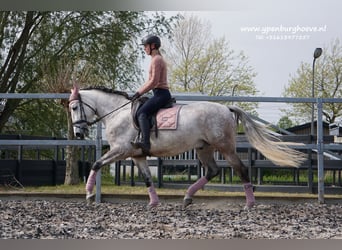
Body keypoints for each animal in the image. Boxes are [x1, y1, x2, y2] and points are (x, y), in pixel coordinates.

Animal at [67, 86, 304, 209]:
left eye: (75, 107)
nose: (78, 133)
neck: (117, 113)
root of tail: (226, 108)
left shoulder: (121, 150)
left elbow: (96, 164)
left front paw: (88, 194)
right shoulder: (137, 156)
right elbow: (147, 178)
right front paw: (153, 202)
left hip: (225, 147)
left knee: (241, 169)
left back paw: (250, 203)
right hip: (203, 148)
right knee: (212, 171)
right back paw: (188, 197)